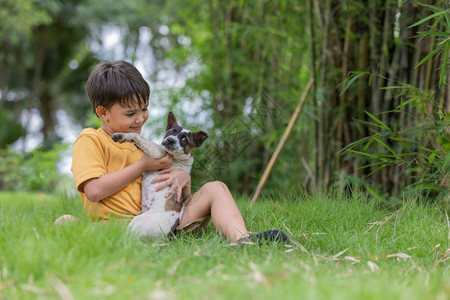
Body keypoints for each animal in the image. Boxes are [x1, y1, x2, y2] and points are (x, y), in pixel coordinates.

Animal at [112, 111, 207, 240]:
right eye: (171, 132)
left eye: (184, 139)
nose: (170, 140)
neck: (178, 159)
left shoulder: (159, 153)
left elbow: (139, 137)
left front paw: (123, 135)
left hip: (136, 223)